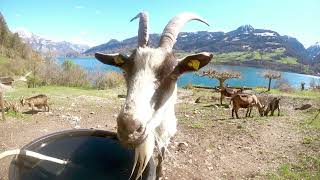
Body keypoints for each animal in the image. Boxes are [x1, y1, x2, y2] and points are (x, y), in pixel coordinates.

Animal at [93, 11, 212, 179]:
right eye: (125, 71)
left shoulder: (166, 136)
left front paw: (160, 174)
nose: (128, 129)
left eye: (173, 74)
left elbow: (161, 157)